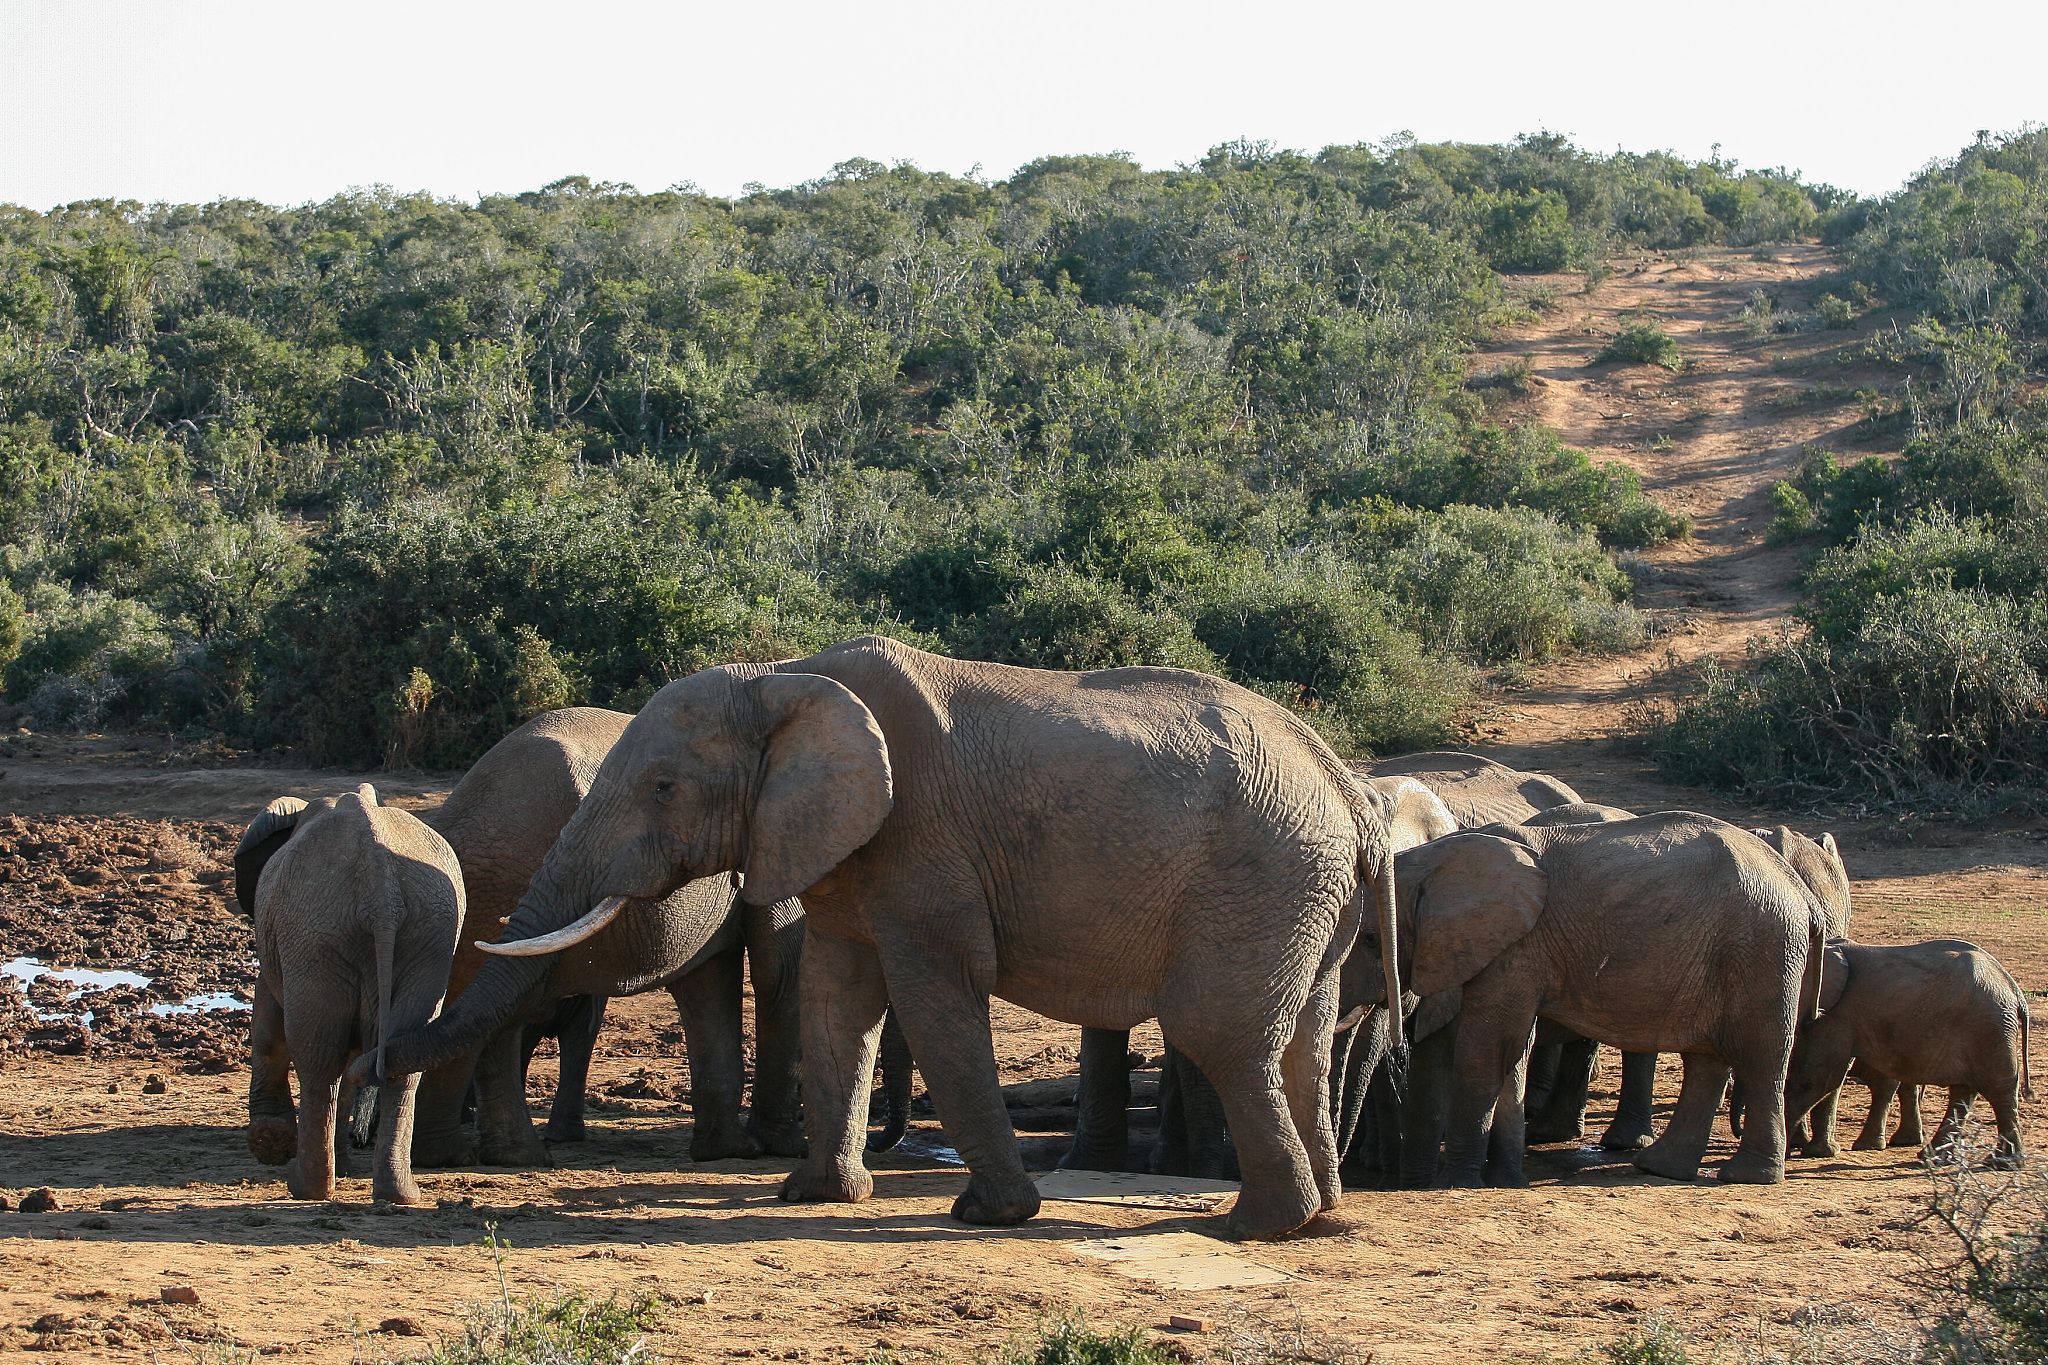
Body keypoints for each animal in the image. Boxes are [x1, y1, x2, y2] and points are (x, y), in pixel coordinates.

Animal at [249, 784, 461, 1204]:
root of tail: (381, 889)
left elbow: (268, 1023)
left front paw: (269, 1143)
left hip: (312, 935)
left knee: (318, 1058)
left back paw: (306, 1188)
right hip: (428, 934)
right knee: (398, 1058)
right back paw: (399, 1193)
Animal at [360, 636, 1399, 1241]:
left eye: (662, 787)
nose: (373, 1060)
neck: (782, 676)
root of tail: (1351, 790)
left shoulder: (922, 840)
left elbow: (935, 993)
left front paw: (988, 1214)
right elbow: (839, 996)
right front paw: (814, 1193)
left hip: (1258, 876)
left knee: (1221, 1031)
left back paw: (1254, 1227)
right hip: (1301, 893)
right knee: (1303, 1034)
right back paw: (1323, 1216)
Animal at [1346, 812, 1827, 1188]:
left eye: (1369, 940)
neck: (1434, 860)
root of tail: (1801, 889)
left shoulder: (1519, 945)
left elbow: (1487, 1045)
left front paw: (1457, 1184)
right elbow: (1509, 1048)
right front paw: (1502, 1180)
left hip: (1764, 946)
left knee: (1760, 1055)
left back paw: (1745, 1176)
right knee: (1706, 1060)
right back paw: (1660, 1168)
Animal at [1786, 938, 2032, 1164]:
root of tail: (2014, 989)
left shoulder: (1836, 1016)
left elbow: (1818, 1078)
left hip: (1989, 1026)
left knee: (1999, 1090)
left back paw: (2003, 1162)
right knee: (1963, 1092)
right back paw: (1933, 1157)